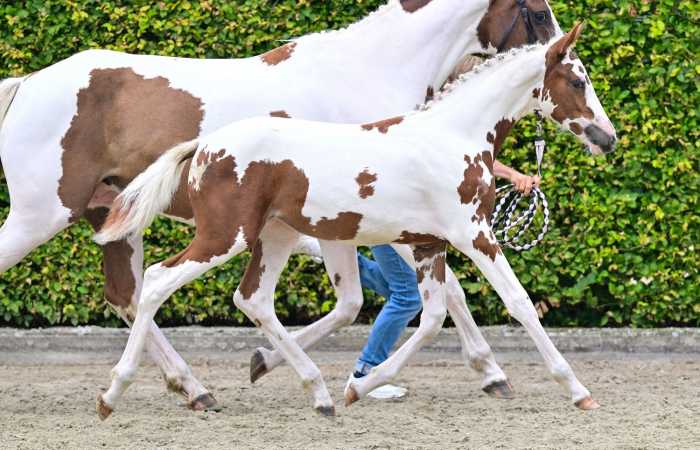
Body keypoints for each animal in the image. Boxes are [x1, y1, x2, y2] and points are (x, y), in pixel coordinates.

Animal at [0, 0, 560, 410]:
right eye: (536, 12)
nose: (564, 57)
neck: (366, 70)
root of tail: (25, 86)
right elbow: (452, 292)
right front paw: (490, 370)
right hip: (40, 216)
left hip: (111, 217)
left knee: (128, 295)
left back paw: (193, 389)